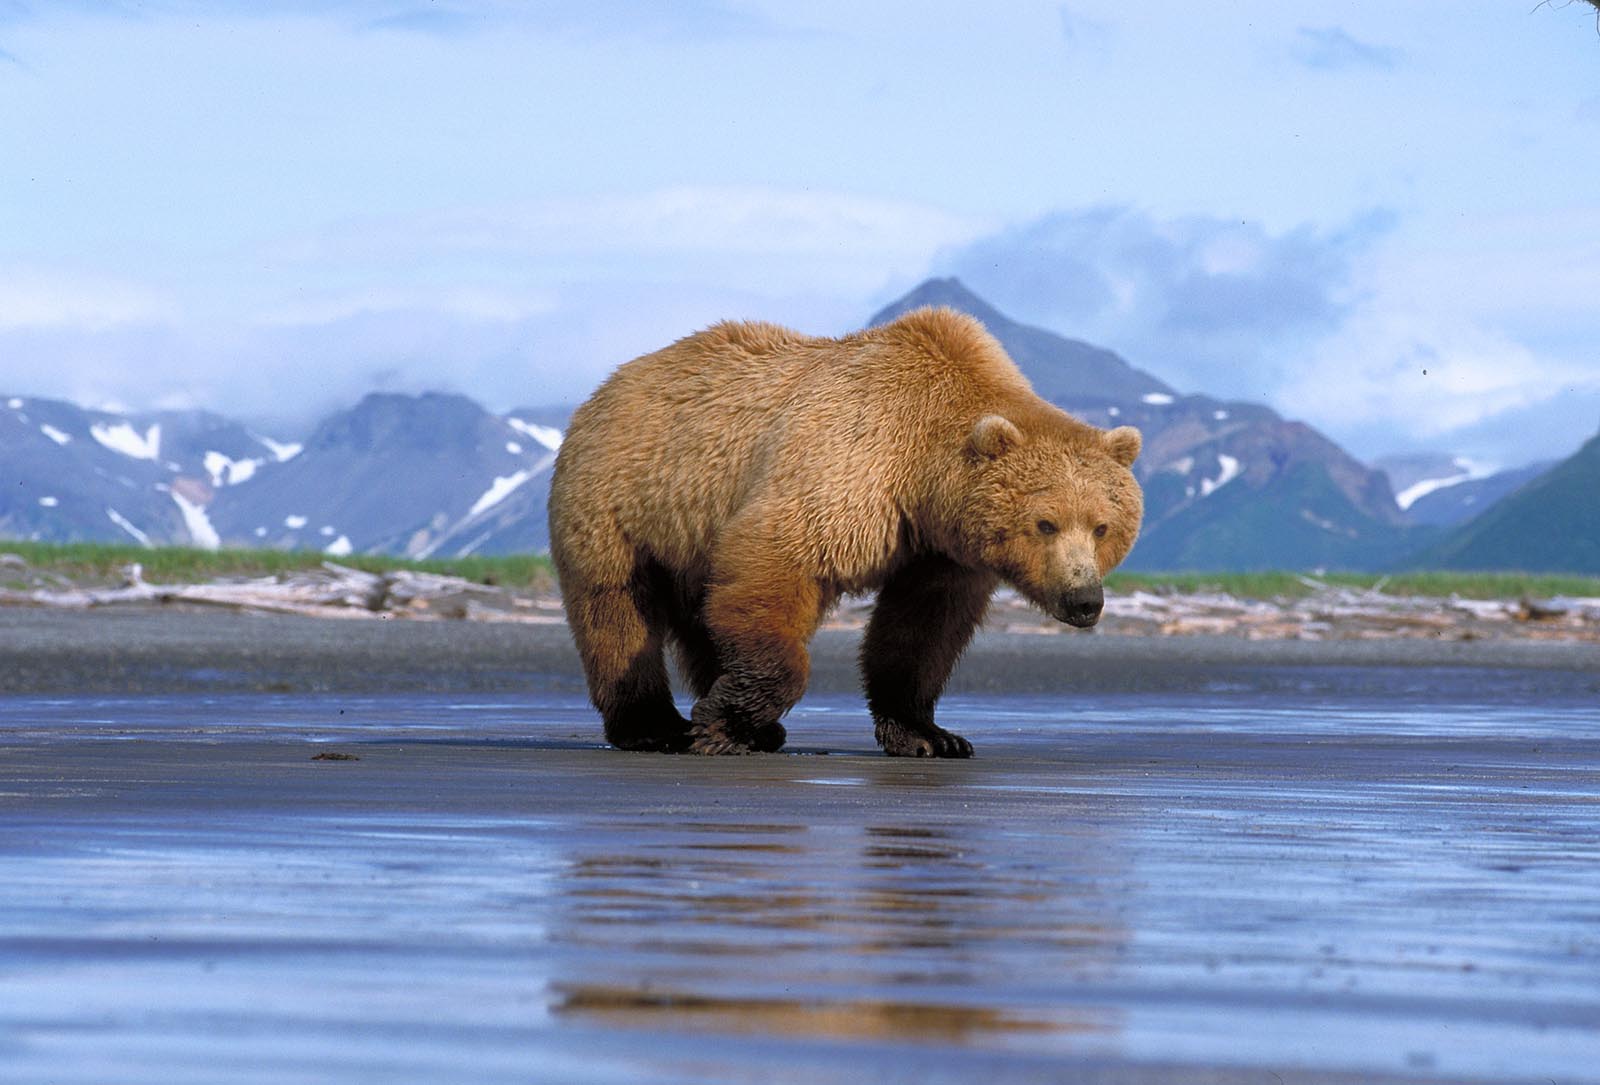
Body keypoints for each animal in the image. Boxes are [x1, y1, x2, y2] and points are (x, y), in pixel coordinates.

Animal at [547, 310, 1139, 761]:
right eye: (1046, 523)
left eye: (1102, 526)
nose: (1085, 600)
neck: (925, 475)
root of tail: (606, 386)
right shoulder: (847, 468)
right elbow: (778, 563)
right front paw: (718, 726)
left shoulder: (939, 549)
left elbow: (922, 630)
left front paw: (932, 735)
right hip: (622, 500)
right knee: (616, 611)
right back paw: (653, 726)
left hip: (687, 538)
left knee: (702, 615)